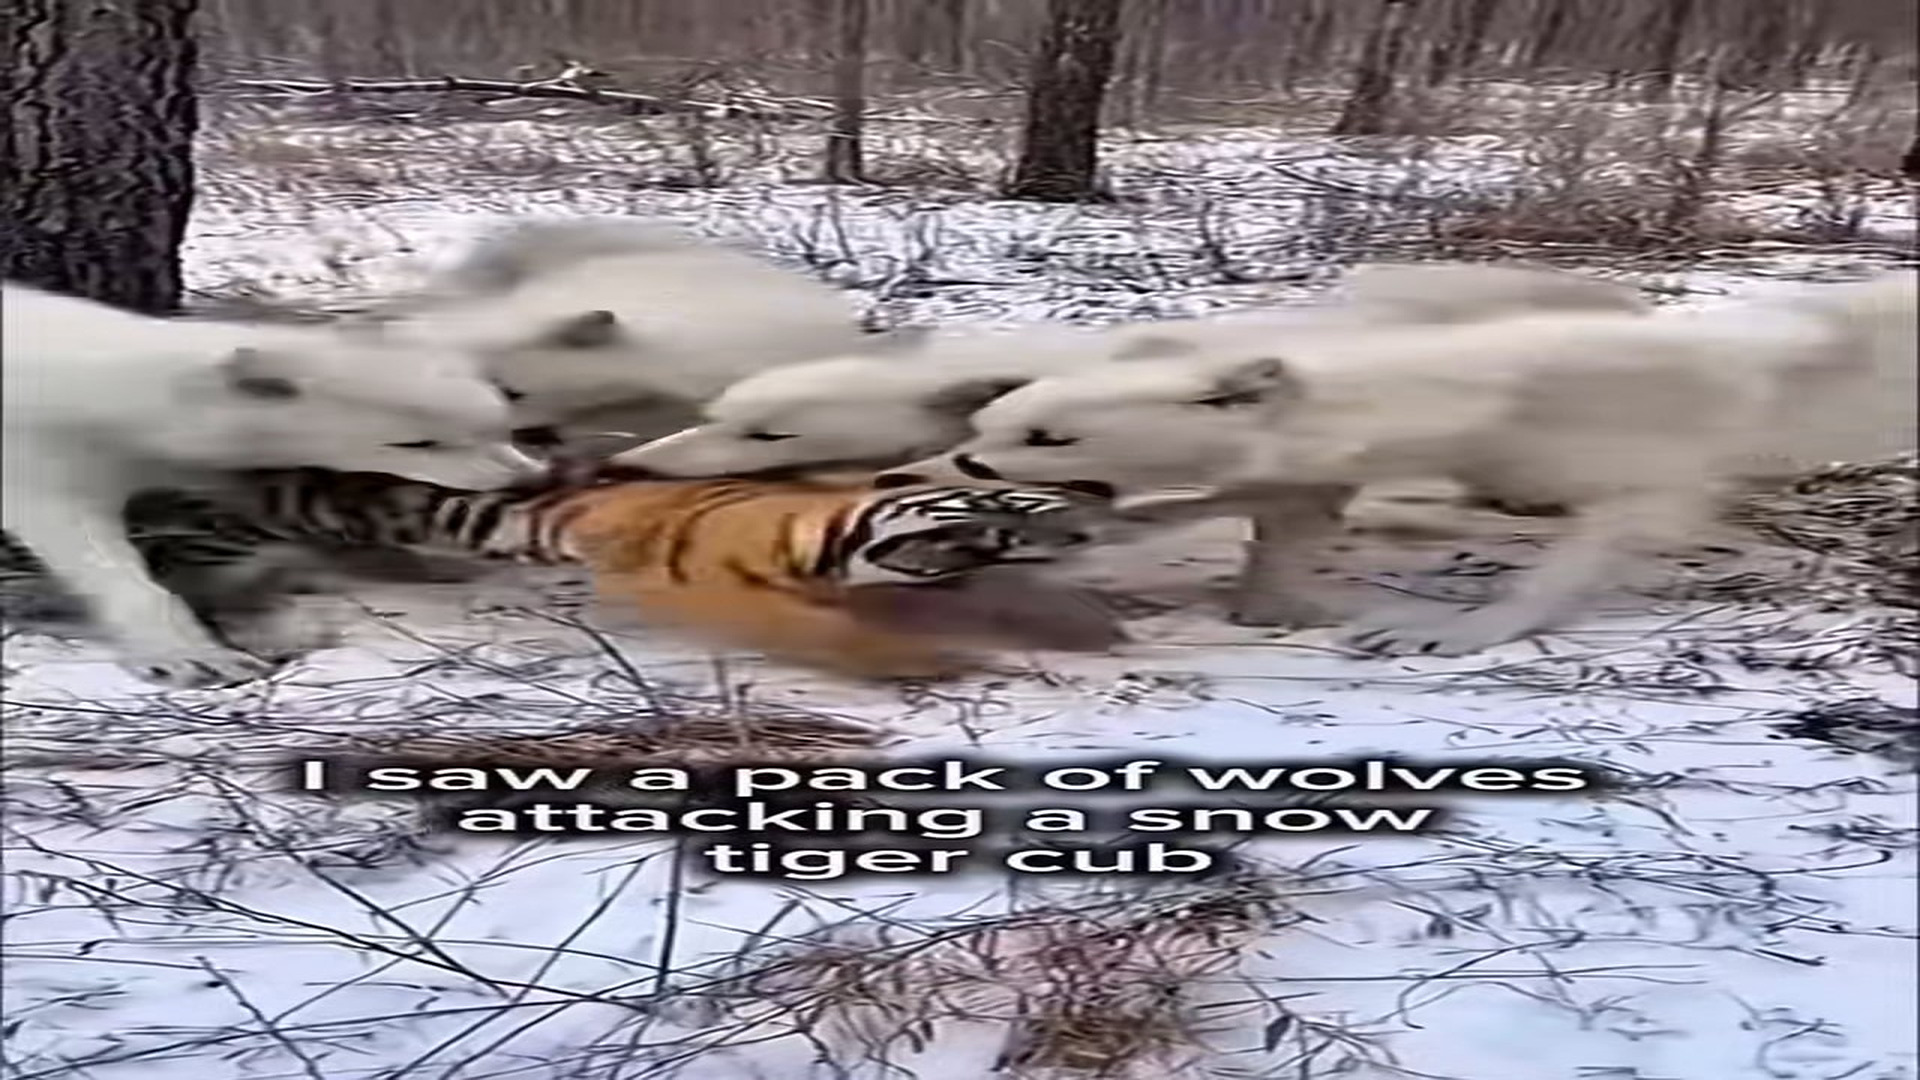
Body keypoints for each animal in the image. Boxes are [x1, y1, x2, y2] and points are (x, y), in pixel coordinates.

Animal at [1, 283, 543, 688]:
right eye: (418, 442)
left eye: (494, 425)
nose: (526, 478)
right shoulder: (45, 454)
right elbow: (87, 546)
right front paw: (193, 655)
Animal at [880, 272, 1918, 652]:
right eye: (1004, 420)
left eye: (1048, 436)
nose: (952, 465)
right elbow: (1251, 495)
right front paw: (1085, 524)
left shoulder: (1646, 475)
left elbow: (1580, 556)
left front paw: (1449, 633)